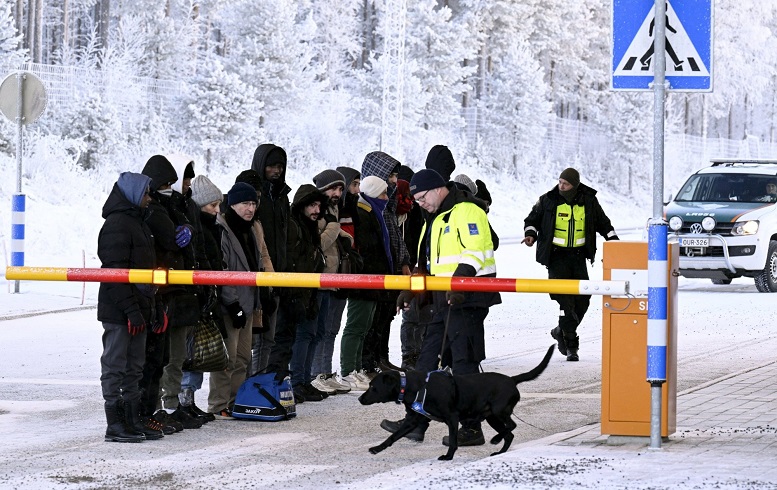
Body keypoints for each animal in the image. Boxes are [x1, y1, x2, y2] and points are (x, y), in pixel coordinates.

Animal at [358, 344, 552, 460]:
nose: (360, 398)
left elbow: (452, 440)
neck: (414, 386)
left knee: (511, 426)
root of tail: (512, 380)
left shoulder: (452, 418)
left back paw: (496, 440)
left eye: (373, 387)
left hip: (499, 411)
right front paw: (377, 448)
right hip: (492, 417)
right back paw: (499, 451)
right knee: (509, 433)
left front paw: (448, 456)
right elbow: (394, 435)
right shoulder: (413, 419)